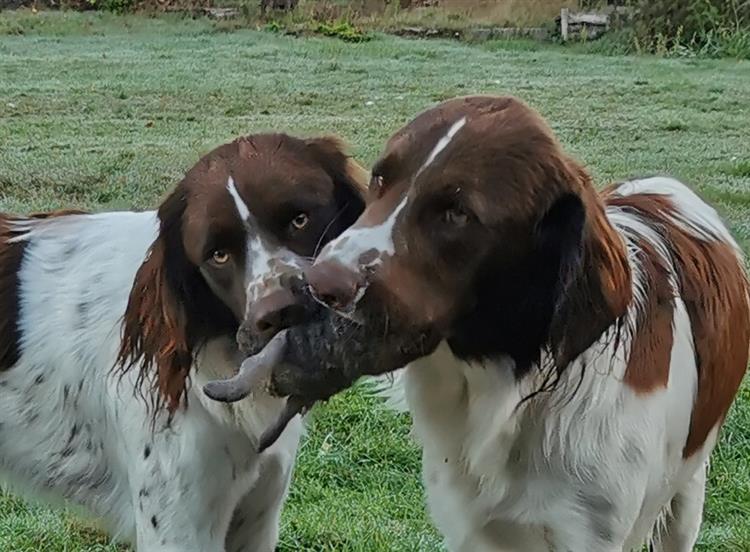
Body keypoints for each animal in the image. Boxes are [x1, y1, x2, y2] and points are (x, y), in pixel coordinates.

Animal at [206, 96, 750, 552]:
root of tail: (665, 185)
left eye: (457, 213)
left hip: (687, 492)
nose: (315, 287)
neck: (505, 385)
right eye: (380, 180)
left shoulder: (588, 533)